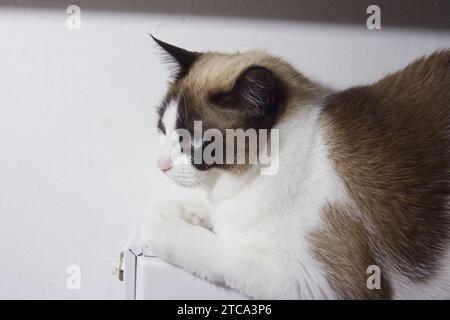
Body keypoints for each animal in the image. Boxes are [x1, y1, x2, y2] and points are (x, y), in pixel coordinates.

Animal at [142, 35, 450, 300]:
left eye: (192, 141)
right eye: (162, 128)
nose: (160, 165)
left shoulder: (318, 282)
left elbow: (220, 252)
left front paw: (159, 228)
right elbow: (204, 211)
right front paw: (168, 212)